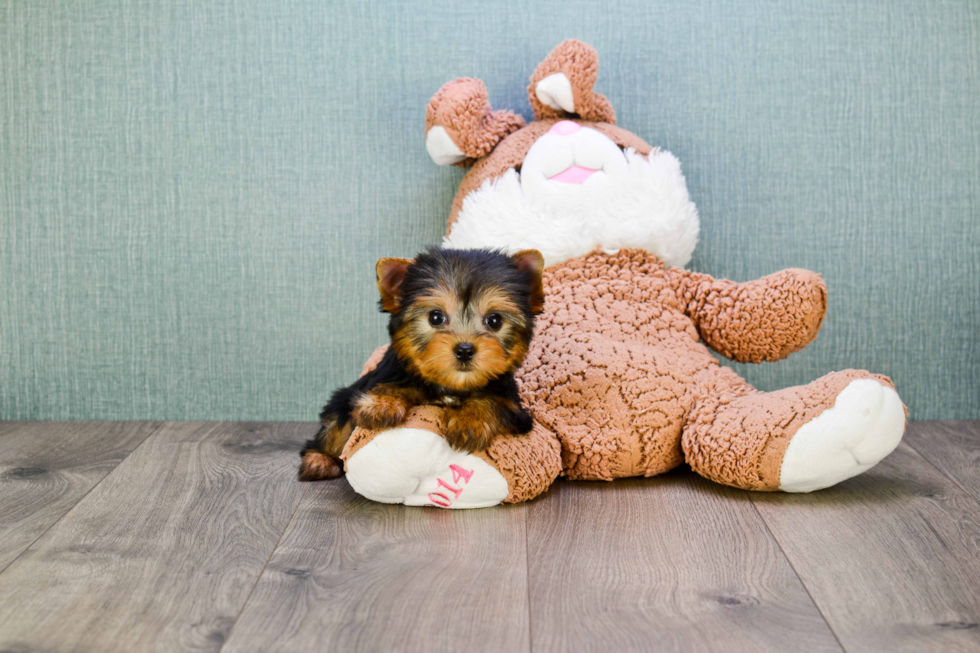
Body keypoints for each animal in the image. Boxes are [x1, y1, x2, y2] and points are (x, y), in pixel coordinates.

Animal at [298, 247, 544, 482]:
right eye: (435, 317)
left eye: (494, 320)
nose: (465, 350)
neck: (450, 385)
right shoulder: (386, 376)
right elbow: (393, 386)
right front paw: (381, 405)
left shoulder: (515, 409)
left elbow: (493, 402)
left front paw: (469, 421)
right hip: (341, 400)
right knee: (334, 428)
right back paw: (319, 460)